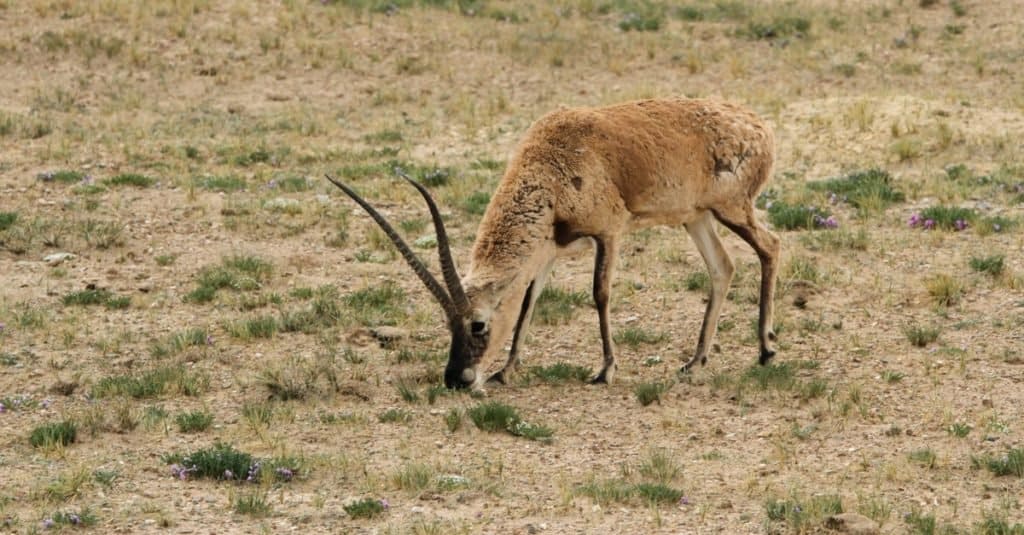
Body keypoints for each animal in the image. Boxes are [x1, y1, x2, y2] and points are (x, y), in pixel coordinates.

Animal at [325, 95, 774, 389]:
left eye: (478, 324)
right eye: (447, 324)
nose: (457, 379)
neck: (552, 164)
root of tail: (757, 125)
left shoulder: (608, 233)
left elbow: (600, 294)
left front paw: (605, 370)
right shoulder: (548, 251)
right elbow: (529, 300)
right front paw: (507, 370)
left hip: (733, 209)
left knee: (771, 246)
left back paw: (766, 351)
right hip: (696, 218)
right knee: (723, 267)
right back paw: (695, 362)